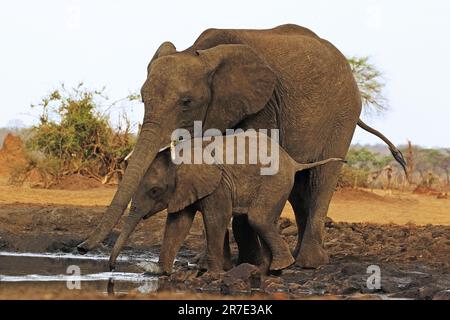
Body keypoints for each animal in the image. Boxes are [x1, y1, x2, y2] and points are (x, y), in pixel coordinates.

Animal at [108, 131, 342, 274]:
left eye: (155, 191)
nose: (111, 268)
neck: (182, 156)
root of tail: (293, 162)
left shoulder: (219, 184)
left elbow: (215, 220)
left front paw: (212, 274)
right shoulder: (185, 188)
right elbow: (178, 224)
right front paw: (161, 273)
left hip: (276, 181)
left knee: (258, 218)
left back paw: (279, 267)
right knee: (265, 220)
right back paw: (264, 271)